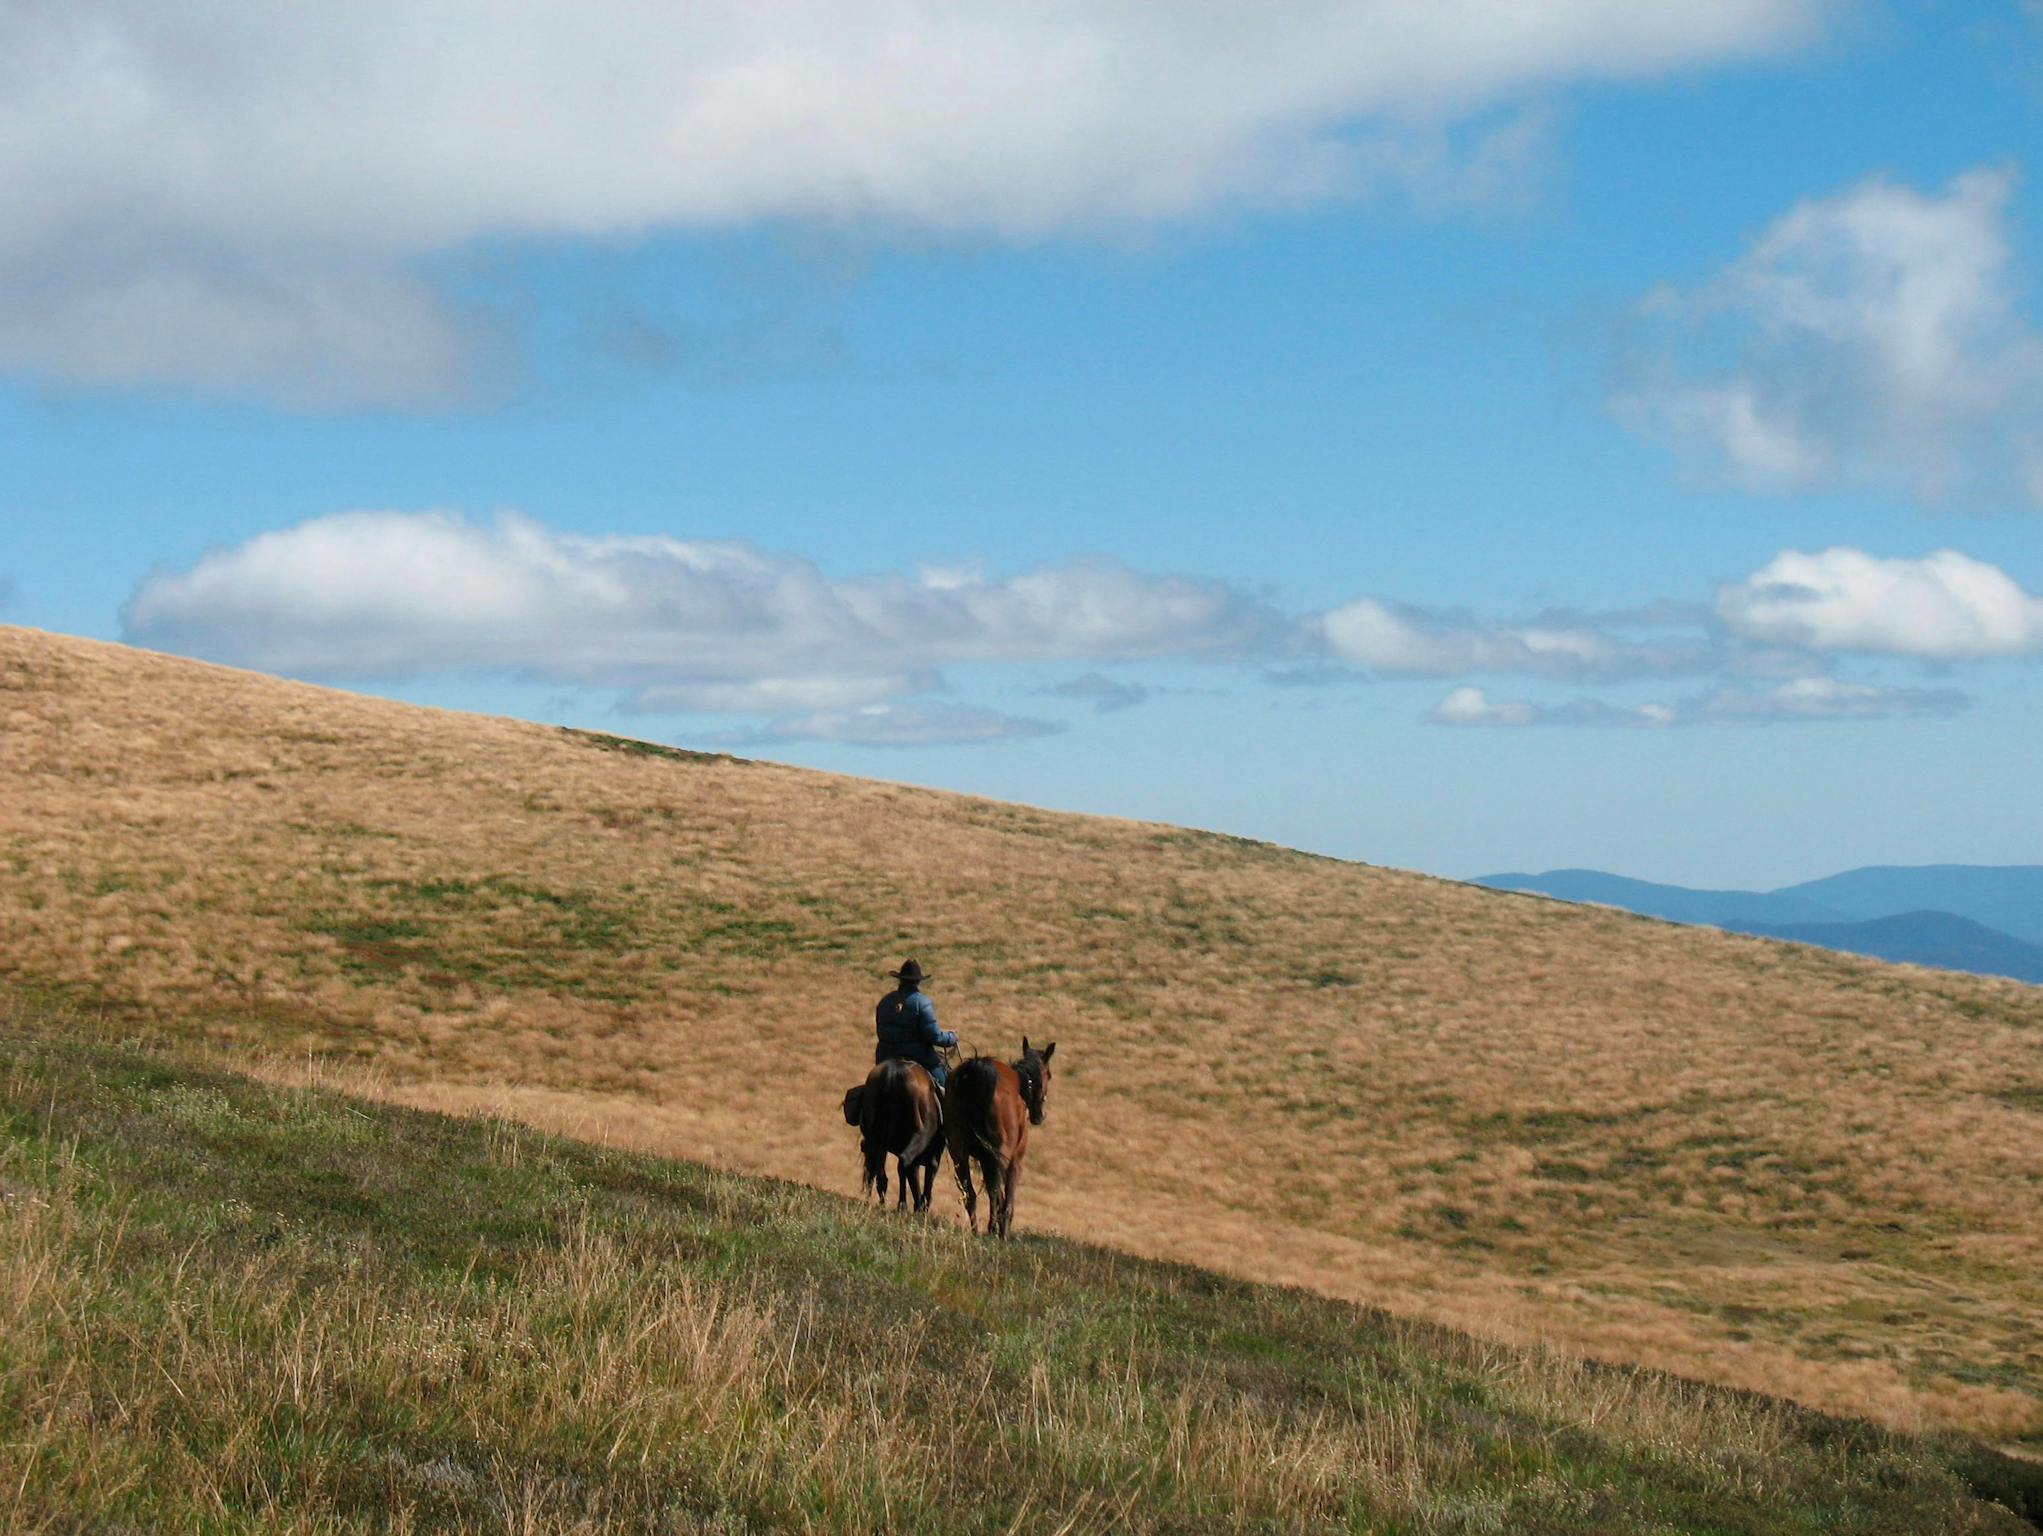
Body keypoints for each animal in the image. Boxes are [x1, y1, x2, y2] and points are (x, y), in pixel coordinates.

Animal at [841, 1053, 943, 1209]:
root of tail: (892, 1074)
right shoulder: (933, 1154)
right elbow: (926, 1175)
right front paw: (921, 1206)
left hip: (876, 1139)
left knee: (876, 1171)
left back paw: (876, 1202)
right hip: (916, 1138)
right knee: (903, 1161)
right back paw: (902, 1205)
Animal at [935, 1037, 1054, 1241]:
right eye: (1049, 1075)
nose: (1039, 1116)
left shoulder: (983, 1158)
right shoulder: (1014, 1162)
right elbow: (1006, 1200)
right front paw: (1002, 1231)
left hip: (959, 1154)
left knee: (971, 1195)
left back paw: (977, 1231)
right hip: (998, 1154)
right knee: (994, 1191)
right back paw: (994, 1229)